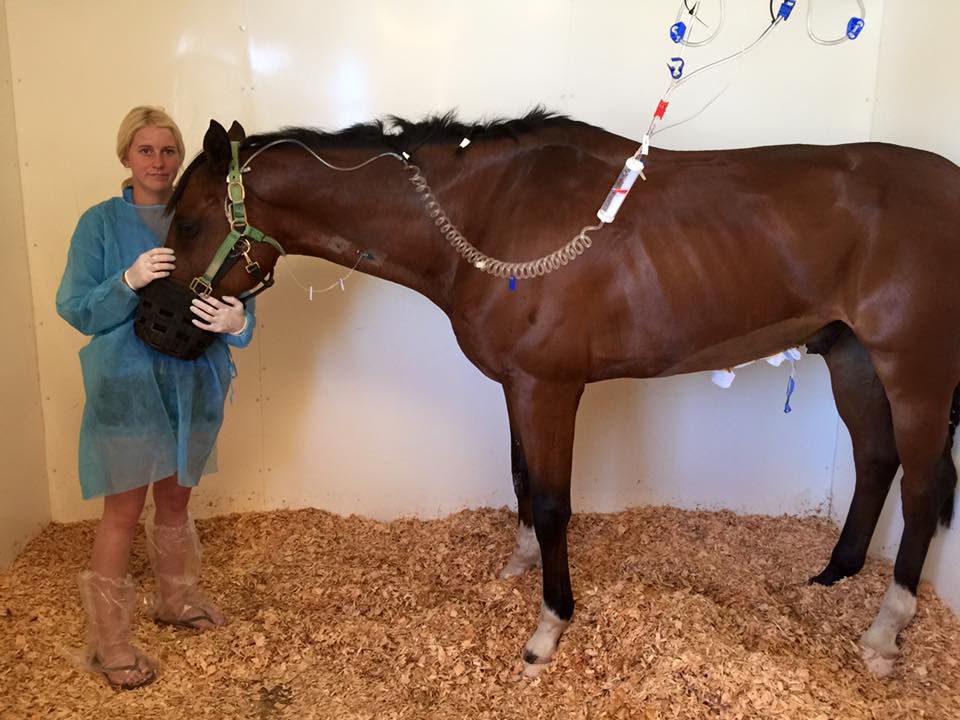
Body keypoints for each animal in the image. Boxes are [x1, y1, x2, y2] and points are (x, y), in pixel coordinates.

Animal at [147, 109, 960, 678]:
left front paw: (548, 627)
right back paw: (831, 578)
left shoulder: (549, 389)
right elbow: (518, 478)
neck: (487, 219)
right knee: (876, 461)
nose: (152, 323)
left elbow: (551, 500)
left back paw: (885, 631)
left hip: (914, 369)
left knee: (923, 487)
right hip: (850, 356)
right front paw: (519, 569)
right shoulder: (519, 386)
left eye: (186, 220)